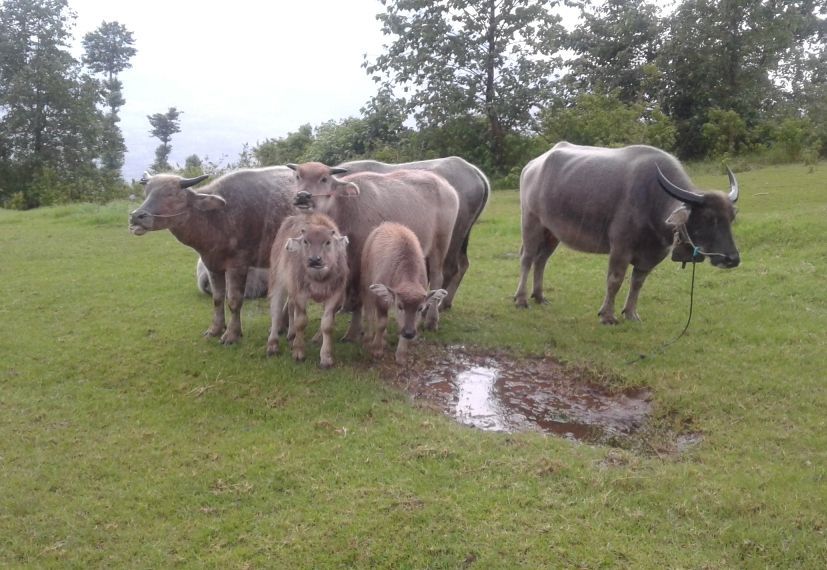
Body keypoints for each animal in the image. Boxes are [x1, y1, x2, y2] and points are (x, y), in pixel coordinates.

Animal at [129, 164, 298, 342]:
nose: (136, 216)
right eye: (147, 193)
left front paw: (232, 334)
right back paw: (282, 324)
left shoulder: (238, 265)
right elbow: (217, 299)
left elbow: (234, 300)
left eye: (170, 194)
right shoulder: (212, 264)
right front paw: (215, 329)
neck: (217, 218)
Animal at [338, 155, 492, 308]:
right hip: (462, 237)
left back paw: (439, 304)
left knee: (450, 269)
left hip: (453, 238)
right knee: (463, 263)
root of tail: (473, 170)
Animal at [364, 222, 450, 364]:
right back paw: (369, 335)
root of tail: (388, 224)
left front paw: (401, 356)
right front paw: (376, 349)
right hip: (365, 282)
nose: (409, 333)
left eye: (421, 308)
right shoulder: (381, 300)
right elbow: (381, 323)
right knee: (368, 310)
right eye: (400, 306)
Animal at [516, 141, 740, 324]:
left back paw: (539, 296)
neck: (653, 199)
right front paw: (607, 315)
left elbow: (637, 283)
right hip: (531, 221)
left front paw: (631, 313)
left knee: (541, 260)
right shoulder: (620, 248)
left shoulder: (654, 254)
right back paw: (521, 299)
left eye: (731, 218)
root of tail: (532, 166)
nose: (732, 259)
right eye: (708, 218)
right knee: (527, 258)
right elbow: (615, 280)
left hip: (552, 232)